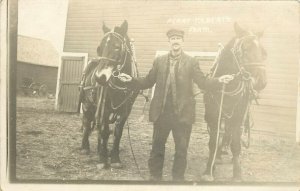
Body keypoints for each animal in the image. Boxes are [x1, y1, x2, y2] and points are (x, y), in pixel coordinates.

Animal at [79, 20, 141, 169]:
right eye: (99, 48)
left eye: (117, 47)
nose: (100, 78)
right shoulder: (105, 107)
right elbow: (105, 130)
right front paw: (102, 159)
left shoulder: (125, 110)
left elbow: (117, 133)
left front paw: (114, 158)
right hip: (87, 104)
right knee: (87, 122)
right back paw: (85, 148)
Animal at [202, 22, 268, 181]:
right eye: (245, 49)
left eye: (264, 53)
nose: (261, 82)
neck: (227, 85)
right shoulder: (213, 115)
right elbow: (213, 141)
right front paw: (209, 170)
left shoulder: (238, 116)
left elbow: (236, 143)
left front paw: (237, 173)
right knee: (223, 132)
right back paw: (219, 155)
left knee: (231, 134)